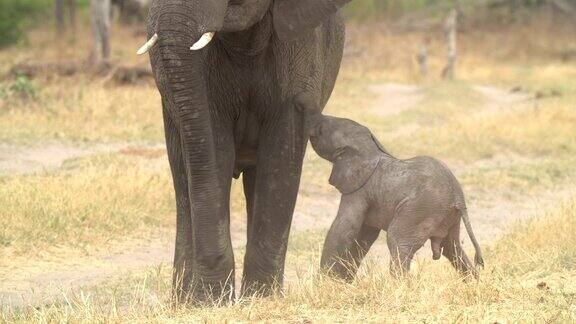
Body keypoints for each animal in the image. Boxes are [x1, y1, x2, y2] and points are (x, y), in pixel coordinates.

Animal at [141, 0, 352, 304]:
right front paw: (210, 301)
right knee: (182, 178)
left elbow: (281, 153)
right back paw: (183, 300)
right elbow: (214, 143)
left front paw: (260, 300)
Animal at [308, 112, 484, 280]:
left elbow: (343, 227)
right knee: (453, 249)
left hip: (420, 210)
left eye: (321, 130)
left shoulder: (358, 189)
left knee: (397, 242)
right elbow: (363, 236)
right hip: (448, 217)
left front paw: (326, 283)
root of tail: (457, 196)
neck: (369, 147)